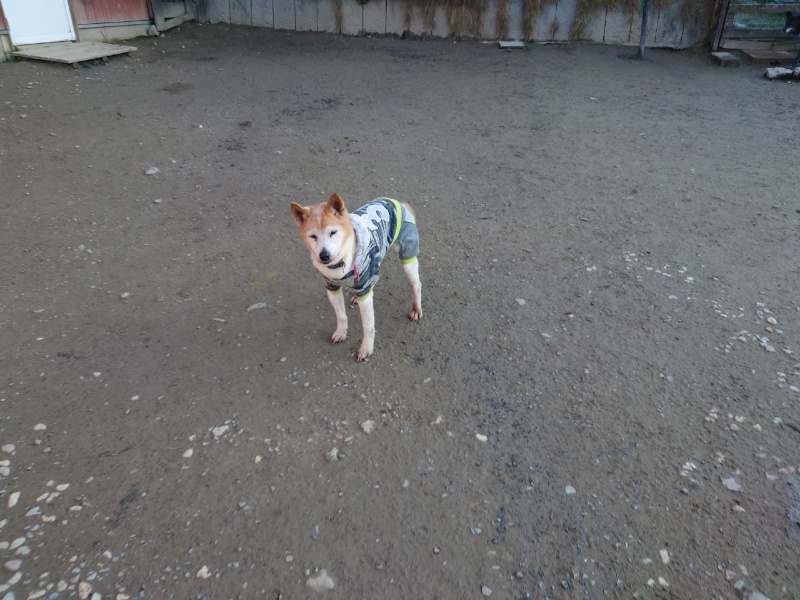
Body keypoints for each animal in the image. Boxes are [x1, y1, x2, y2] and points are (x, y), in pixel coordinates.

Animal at [290, 193, 422, 361]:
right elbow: (341, 316)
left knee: (416, 285)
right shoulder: (332, 288)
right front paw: (341, 333)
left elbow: (368, 326)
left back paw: (416, 308)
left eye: (333, 232)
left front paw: (366, 348)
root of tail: (395, 201)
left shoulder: (365, 291)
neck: (340, 264)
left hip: (407, 255)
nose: (324, 255)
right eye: (313, 236)